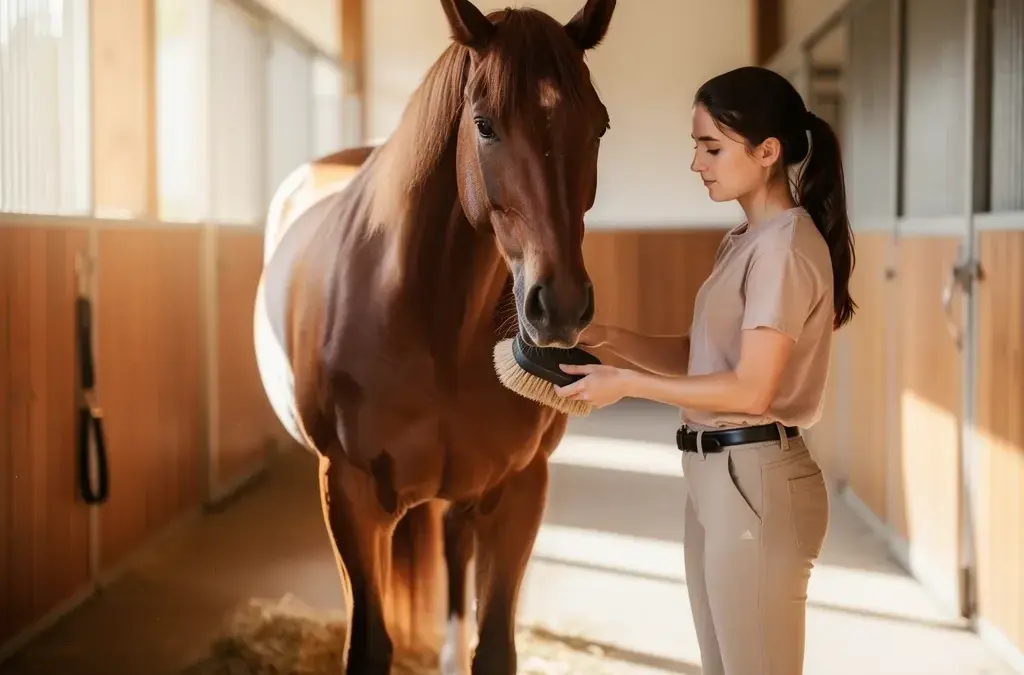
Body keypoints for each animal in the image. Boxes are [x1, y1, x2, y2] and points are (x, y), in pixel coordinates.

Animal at [253, 1, 617, 673]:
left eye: (599, 126)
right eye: (484, 125)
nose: (559, 307)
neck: (433, 326)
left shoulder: (518, 489)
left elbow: (493, 644)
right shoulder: (350, 495)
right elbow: (369, 644)